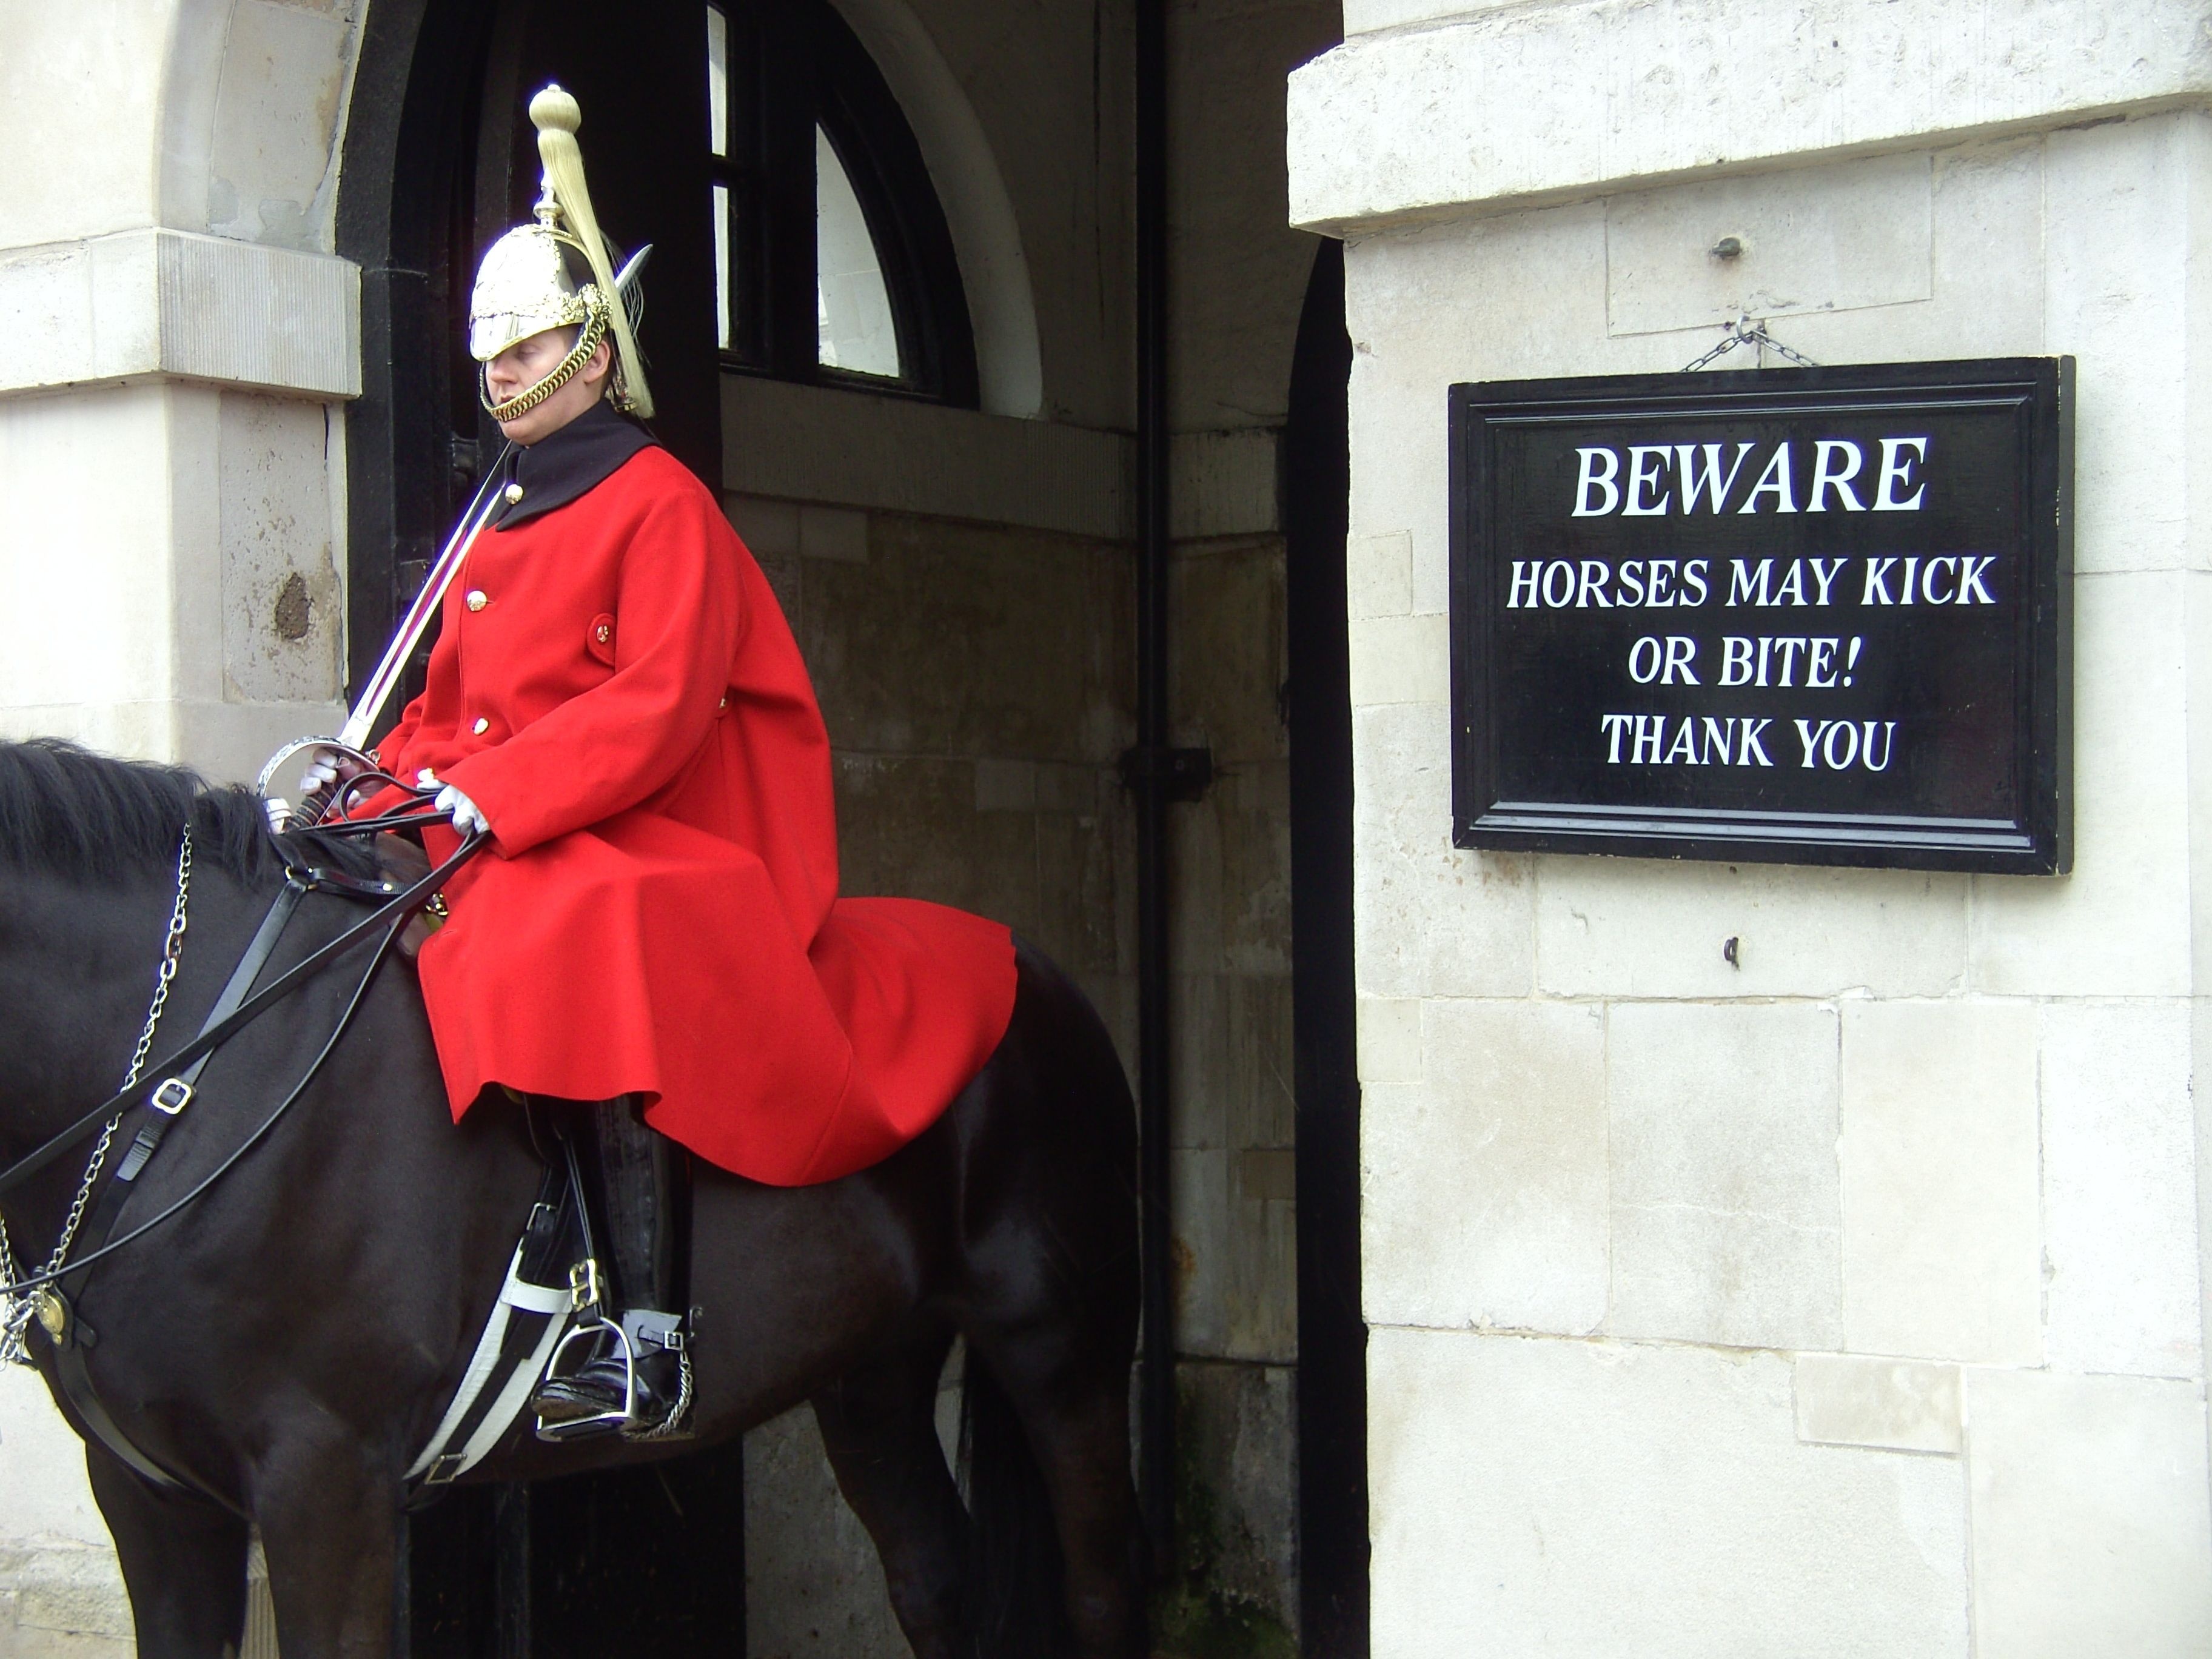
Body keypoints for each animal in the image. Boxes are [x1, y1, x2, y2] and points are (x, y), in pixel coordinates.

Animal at [0, 748, 1141, 1659]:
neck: (196, 1072)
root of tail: (1026, 962)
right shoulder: (152, 1501)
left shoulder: (325, 1483)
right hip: (872, 1374)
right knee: (936, 1581)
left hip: (1061, 1355)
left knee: (1100, 1594)